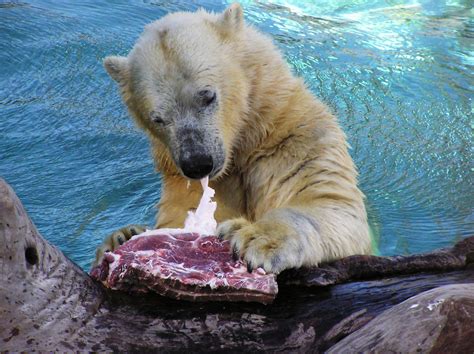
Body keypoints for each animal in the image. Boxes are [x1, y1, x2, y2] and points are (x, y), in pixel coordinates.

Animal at [95, 3, 370, 274]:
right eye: (158, 119)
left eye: (208, 95)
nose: (197, 163)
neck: (244, 144)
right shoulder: (181, 177)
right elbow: (182, 216)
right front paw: (121, 236)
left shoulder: (294, 140)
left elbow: (330, 205)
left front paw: (254, 237)